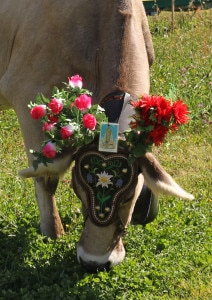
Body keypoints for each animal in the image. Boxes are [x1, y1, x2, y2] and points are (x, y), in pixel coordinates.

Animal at [0, 0, 194, 272]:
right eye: (76, 186)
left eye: (129, 195)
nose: (94, 262)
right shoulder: (28, 94)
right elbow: (46, 177)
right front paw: (53, 233)